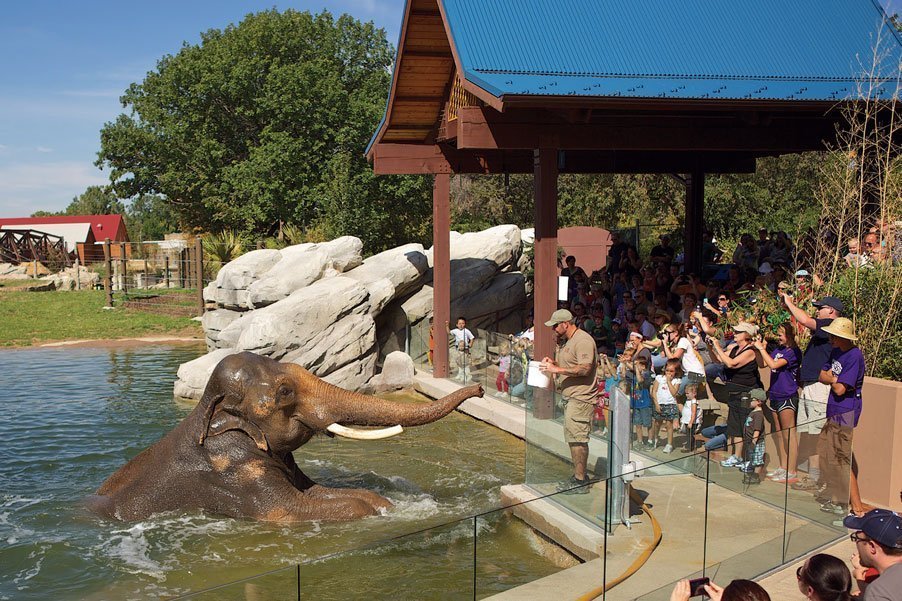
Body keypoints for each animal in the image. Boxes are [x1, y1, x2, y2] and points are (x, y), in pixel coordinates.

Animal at [91, 352, 484, 520]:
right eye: (284, 392)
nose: (480, 389)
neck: (207, 413)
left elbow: (318, 491)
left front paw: (385, 504)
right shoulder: (236, 468)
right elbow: (293, 509)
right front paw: (376, 510)